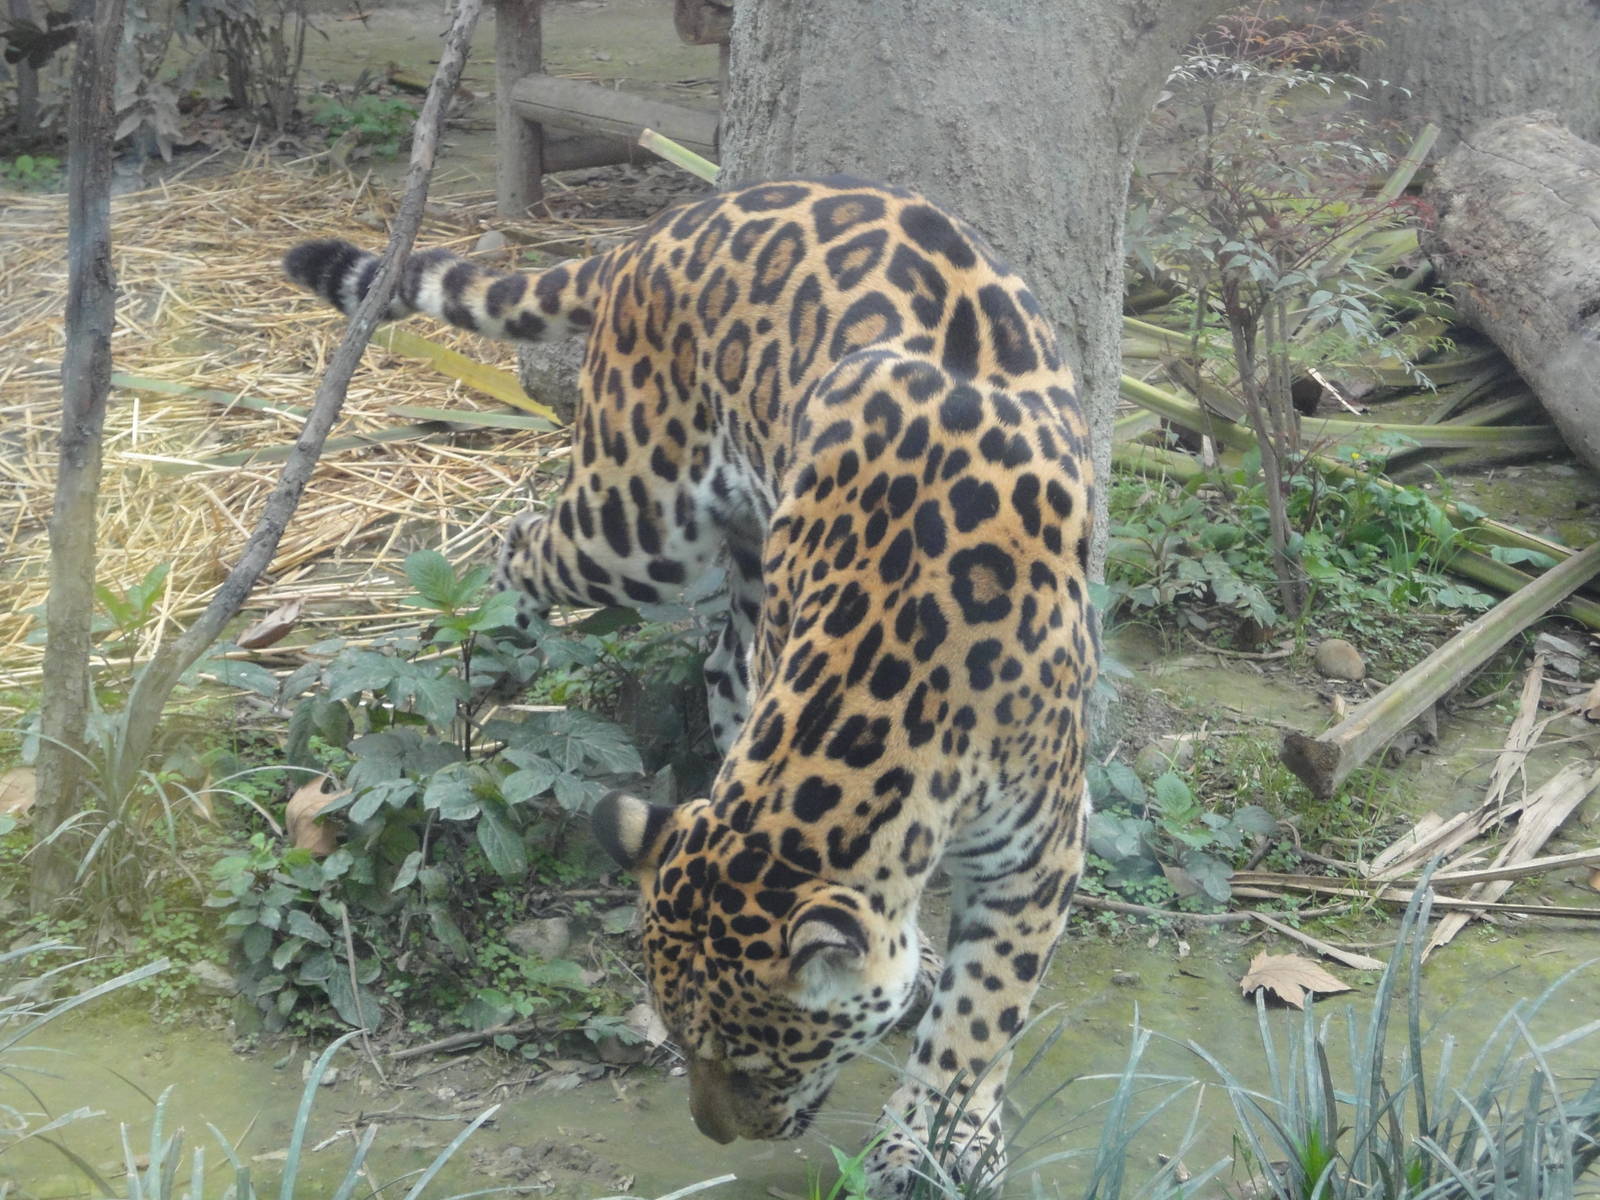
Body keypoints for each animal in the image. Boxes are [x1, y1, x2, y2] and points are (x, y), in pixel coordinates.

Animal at [284, 176, 1096, 1196]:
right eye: (677, 1036)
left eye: (759, 1059)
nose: (714, 1135)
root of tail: (664, 229)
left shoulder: (1041, 849)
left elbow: (983, 1013)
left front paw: (934, 1139)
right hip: (641, 524)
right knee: (526, 540)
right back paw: (500, 648)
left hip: (727, 535)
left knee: (711, 654)